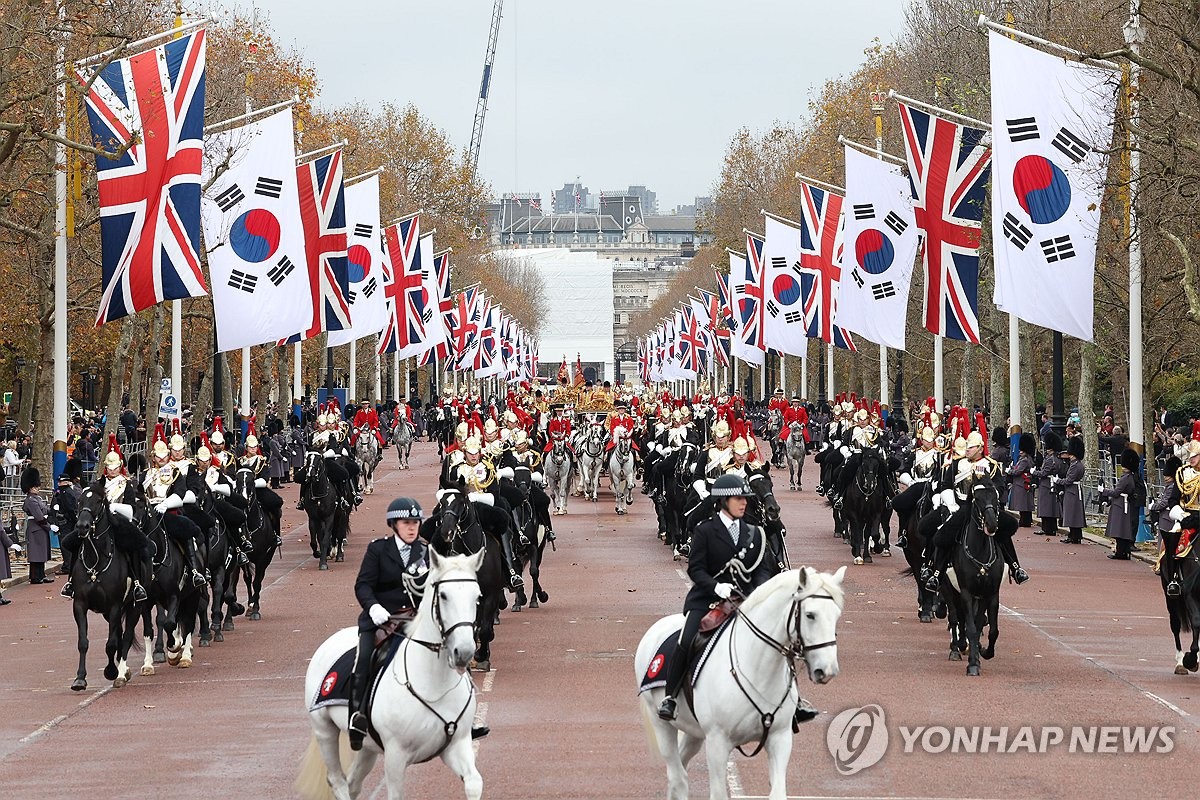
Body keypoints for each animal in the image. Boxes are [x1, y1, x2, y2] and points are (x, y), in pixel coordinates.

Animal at [67, 484, 142, 690]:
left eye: (99, 501)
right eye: (80, 500)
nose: (82, 526)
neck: (96, 559)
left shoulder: (115, 605)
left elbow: (111, 644)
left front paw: (111, 671)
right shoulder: (80, 604)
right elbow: (83, 642)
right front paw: (79, 678)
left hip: (134, 606)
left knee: (126, 635)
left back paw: (121, 672)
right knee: (120, 633)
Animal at [295, 554, 482, 800]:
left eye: (477, 596)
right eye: (443, 595)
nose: (465, 652)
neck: (435, 684)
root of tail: (330, 640)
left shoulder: (456, 744)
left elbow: (474, 783)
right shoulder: (396, 755)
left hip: (366, 746)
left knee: (352, 782)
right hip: (324, 730)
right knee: (337, 781)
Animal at [633, 563, 849, 800]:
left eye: (837, 614)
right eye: (810, 615)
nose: (827, 670)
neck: (758, 668)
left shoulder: (780, 738)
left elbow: (778, 792)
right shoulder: (717, 743)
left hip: (694, 731)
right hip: (662, 724)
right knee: (677, 776)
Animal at [936, 474, 1003, 676]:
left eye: (996, 498)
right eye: (977, 499)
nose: (992, 524)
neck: (979, 551)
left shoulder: (990, 593)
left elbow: (989, 628)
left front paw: (984, 652)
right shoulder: (966, 591)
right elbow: (971, 627)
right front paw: (973, 663)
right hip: (948, 588)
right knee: (955, 617)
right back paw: (956, 649)